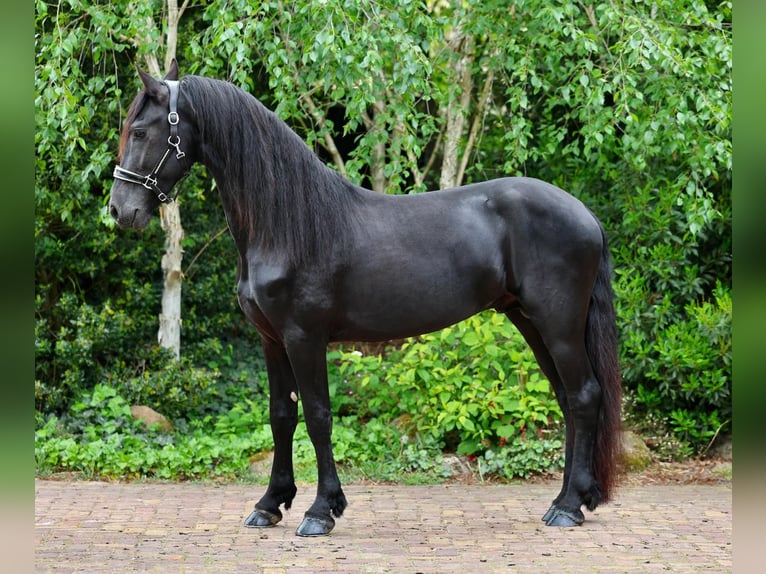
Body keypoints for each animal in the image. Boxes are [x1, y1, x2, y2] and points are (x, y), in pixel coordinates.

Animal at [109, 61, 622, 537]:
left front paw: (321, 511)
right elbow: (281, 416)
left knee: (583, 396)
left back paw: (568, 507)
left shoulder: (304, 338)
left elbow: (318, 417)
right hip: (530, 321)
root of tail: (584, 214)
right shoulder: (271, 341)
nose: (120, 211)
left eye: (141, 130)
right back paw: (568, 499)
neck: (285, 225)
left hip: (558, 325)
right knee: (568, 400)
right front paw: (270, 504)